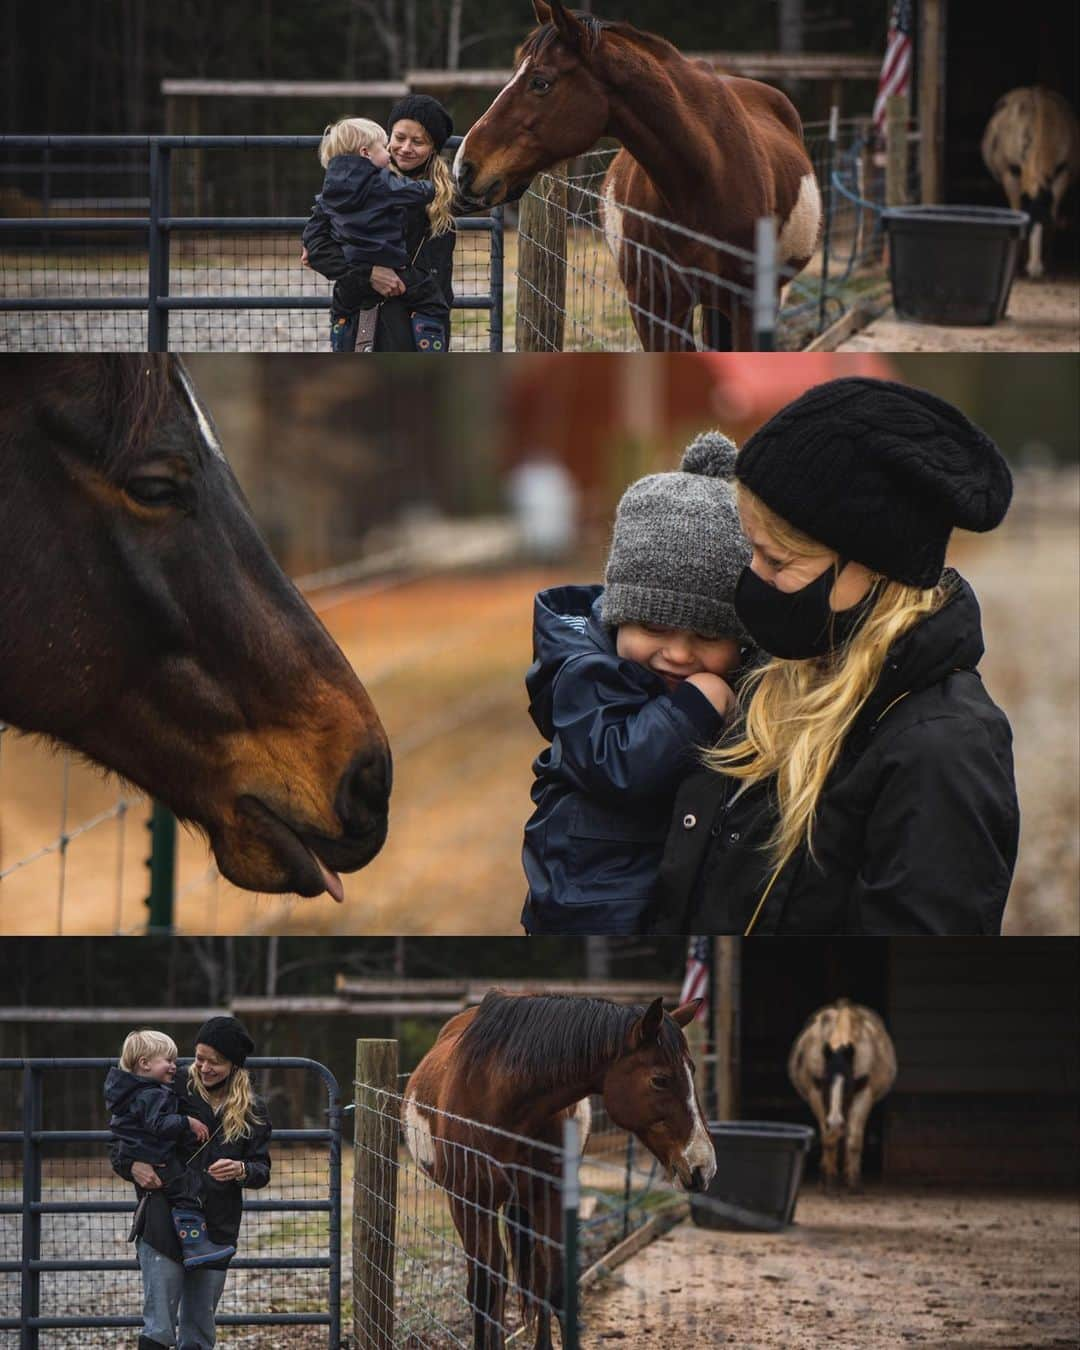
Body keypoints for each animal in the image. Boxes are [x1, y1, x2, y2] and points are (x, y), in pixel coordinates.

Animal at [399, 993, 712, 1350]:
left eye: (691, 1071)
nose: (703, 1165)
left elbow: (556, 1288)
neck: (499, 1098)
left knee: (532, 1274)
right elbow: (483, 1290)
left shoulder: (550, 1195)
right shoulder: (469, 1202)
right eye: (660, 1080)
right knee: (496, 1281)